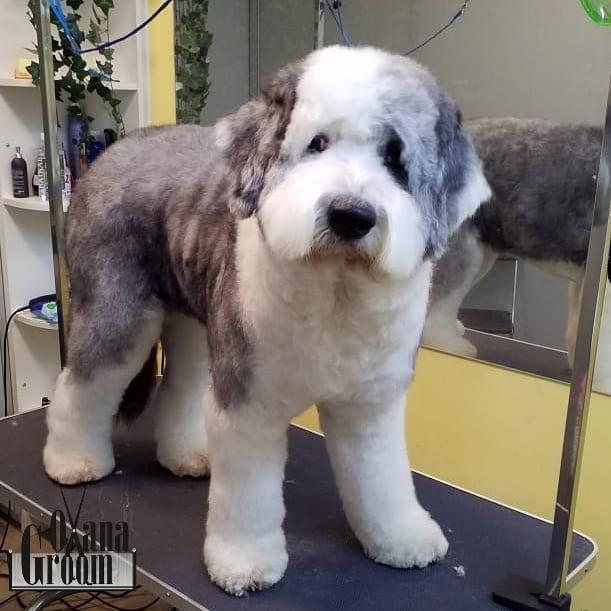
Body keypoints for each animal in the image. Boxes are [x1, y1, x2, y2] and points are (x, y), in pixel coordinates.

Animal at [43, 46, 490, 596]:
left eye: (394, 156)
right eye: (317, 143)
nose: (351, 214)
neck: (335, 291)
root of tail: (116, 150)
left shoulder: (370, 407)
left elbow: (382, 478)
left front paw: (402, 539)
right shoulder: (248, 405)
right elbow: (249, 497)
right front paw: (245, 563)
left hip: (198, 322)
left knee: (181, 385)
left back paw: (188, 456)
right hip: (118, 313)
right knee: (83, 385)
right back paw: (73, 461)